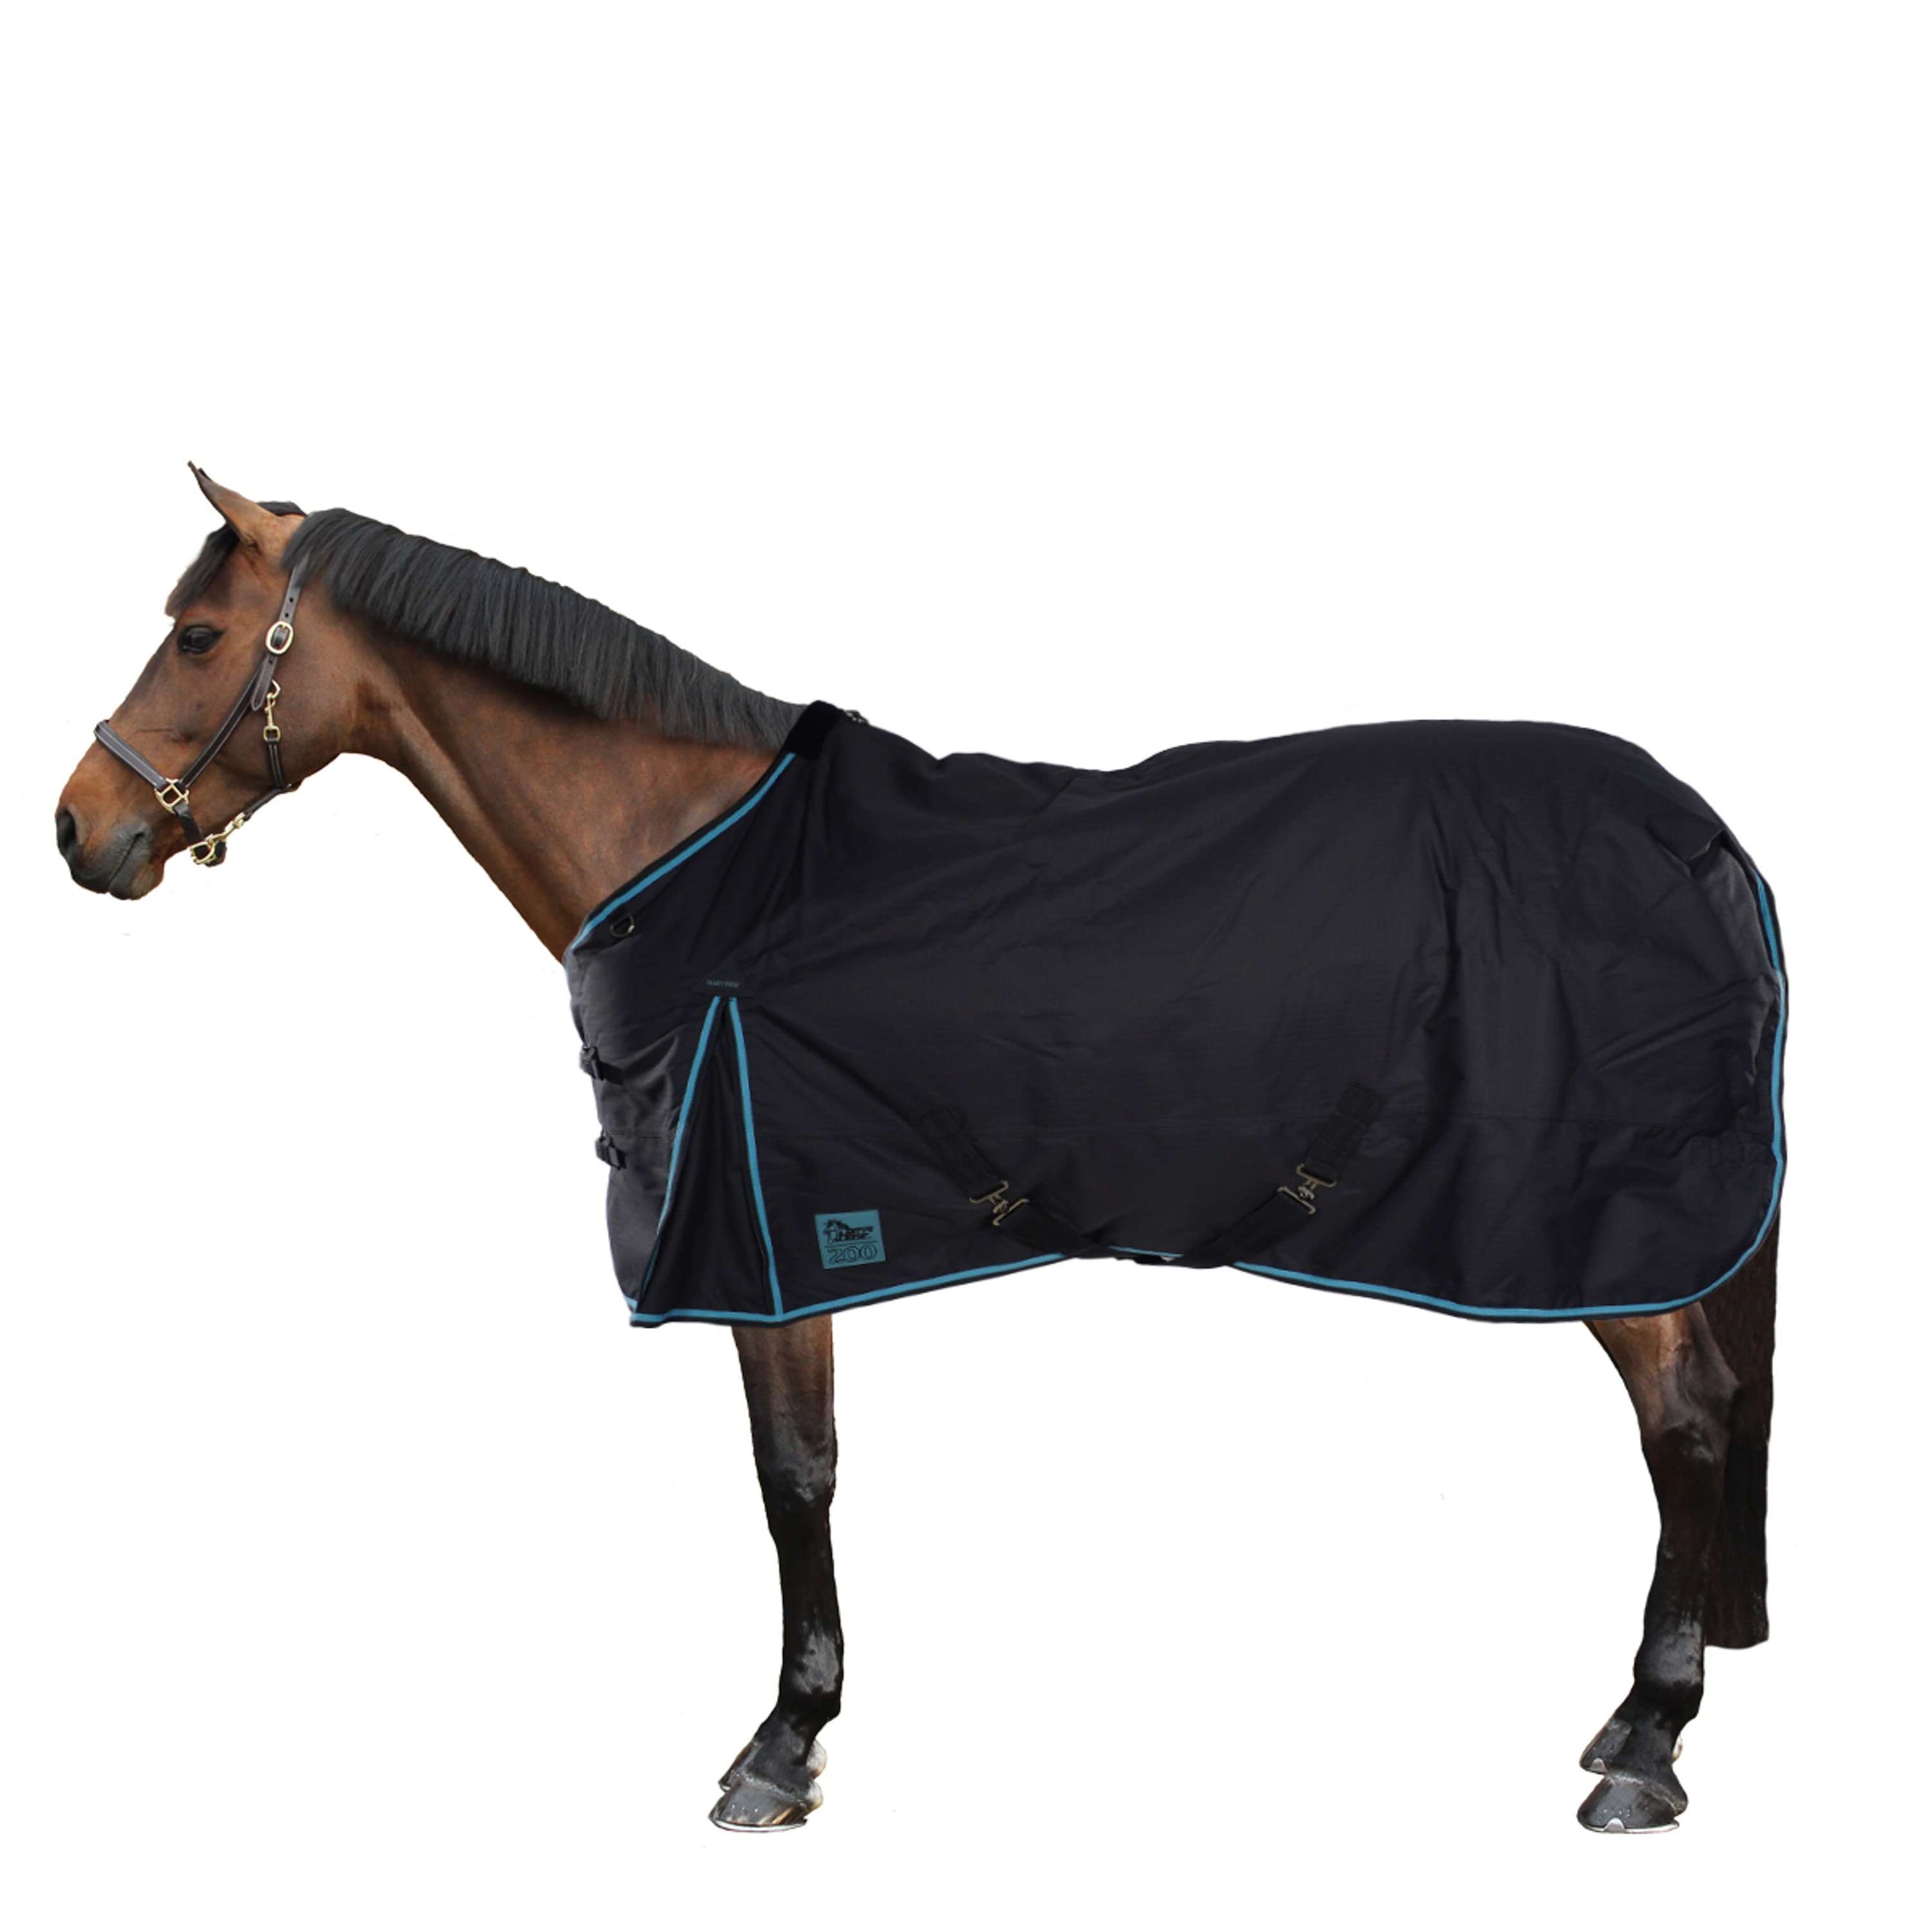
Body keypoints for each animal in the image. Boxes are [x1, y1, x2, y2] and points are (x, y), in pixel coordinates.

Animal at [56, 468, 1781, 1836]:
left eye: (199, 636)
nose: (80, 830)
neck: (709, 872)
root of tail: (1700, 832)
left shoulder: (762, 1238)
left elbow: (793, 1477)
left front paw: (781, 1745)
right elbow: (804, 1473)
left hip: (1602, 1225)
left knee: (1687, 1421)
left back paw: (1648, 1746)